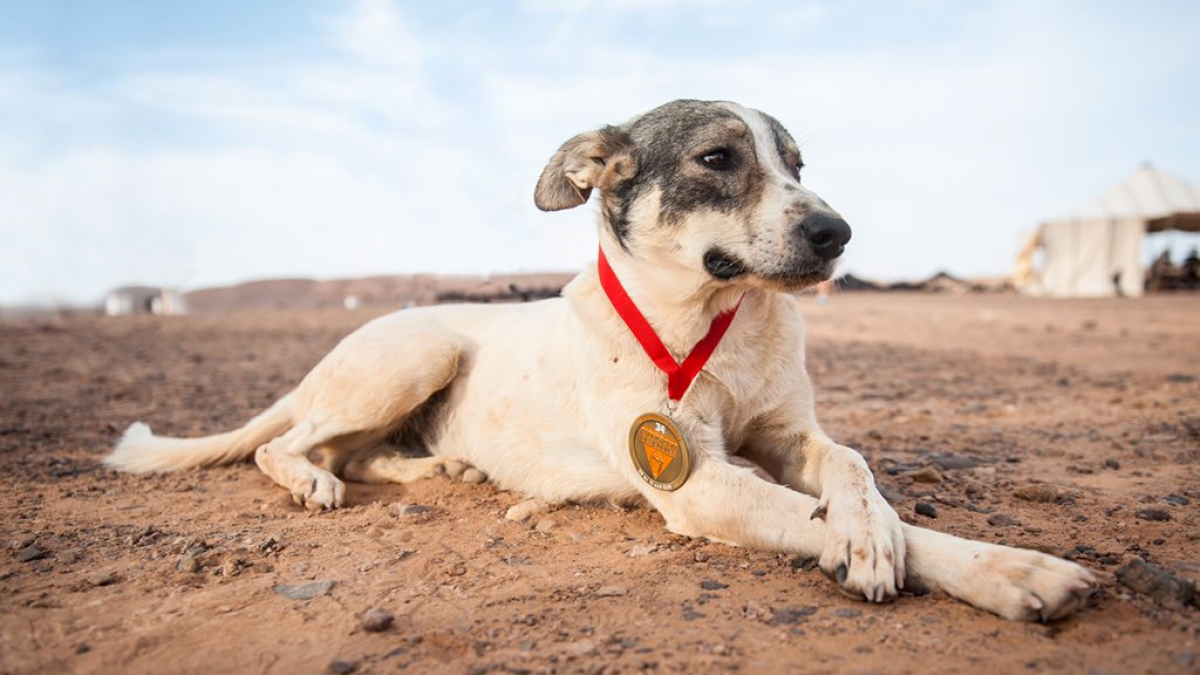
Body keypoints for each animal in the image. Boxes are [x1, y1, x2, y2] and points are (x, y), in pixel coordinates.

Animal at [110, 99, 1099, 619]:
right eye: (717, 158)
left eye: (797, 162)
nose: (837, 232)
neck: (710, 322)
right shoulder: (696, 481)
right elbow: (823, 517)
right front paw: (1010, 569)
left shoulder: (789, 433)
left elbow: (851, 465)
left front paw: (871, 526)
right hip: (419, 350)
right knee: (288, 446)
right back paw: (317, 479)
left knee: (360, 451)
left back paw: (445, 467)